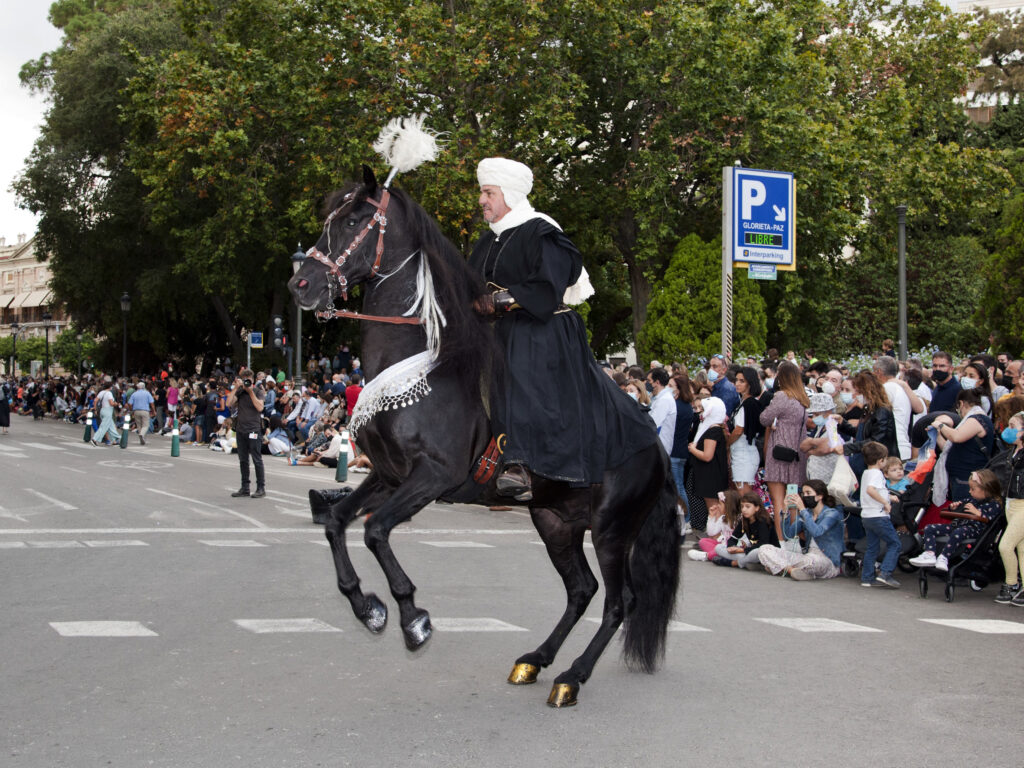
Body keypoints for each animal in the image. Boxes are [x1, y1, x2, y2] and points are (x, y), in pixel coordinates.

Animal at [286, 169, 679, 708]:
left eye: (352, 219)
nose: (300, 284)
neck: (424, 364)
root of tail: (656, 444)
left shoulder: (432, 477)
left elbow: (375, 531)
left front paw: (412, 618)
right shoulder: (389, 476)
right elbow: (337, 522)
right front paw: (368, 607)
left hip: (611, 529)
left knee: (621, 603)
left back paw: (570, 678)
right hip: (555, 521)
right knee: (581, 590)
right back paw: (535, 660)